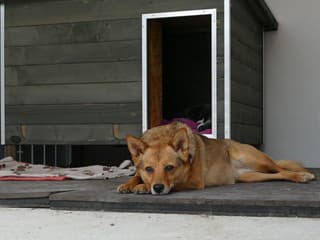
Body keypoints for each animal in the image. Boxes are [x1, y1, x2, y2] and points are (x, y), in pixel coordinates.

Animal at [117, 122, 316, 195]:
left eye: (169, 167)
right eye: (149, 169)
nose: (157, 188)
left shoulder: (195, 182)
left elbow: (175, 184)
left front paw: (142, 186)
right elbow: (136, 175)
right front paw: (129, 184)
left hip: (255, 159)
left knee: (281, 168)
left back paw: (302, 175)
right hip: (250, 176)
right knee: (276, 175)